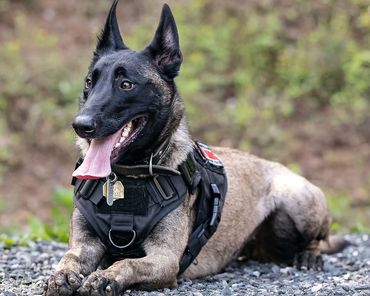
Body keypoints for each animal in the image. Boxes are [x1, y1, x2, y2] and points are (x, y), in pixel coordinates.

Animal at [44, 1, 344, 294]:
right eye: (89, 82)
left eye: (126, 84)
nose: (81, 125)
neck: (126, 177)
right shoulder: (84, 245)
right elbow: (68, 258)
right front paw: (62, 275)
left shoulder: (164, 259)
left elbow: (126, 262)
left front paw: (106, 277)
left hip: (298, 201)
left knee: (317, 240)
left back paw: (309, 256)